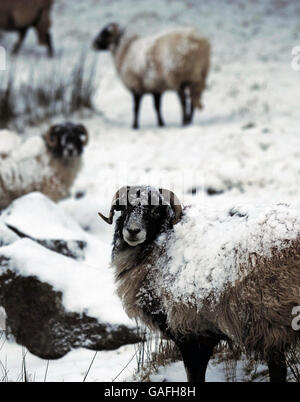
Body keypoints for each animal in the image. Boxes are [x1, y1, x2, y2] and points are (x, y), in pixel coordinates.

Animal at [99, 186, 300, 384]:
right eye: (125, 207)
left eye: (155, 210)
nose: (133, 231)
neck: (162, 248)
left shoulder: (192, 331)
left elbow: (194, 375)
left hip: (273, 319)